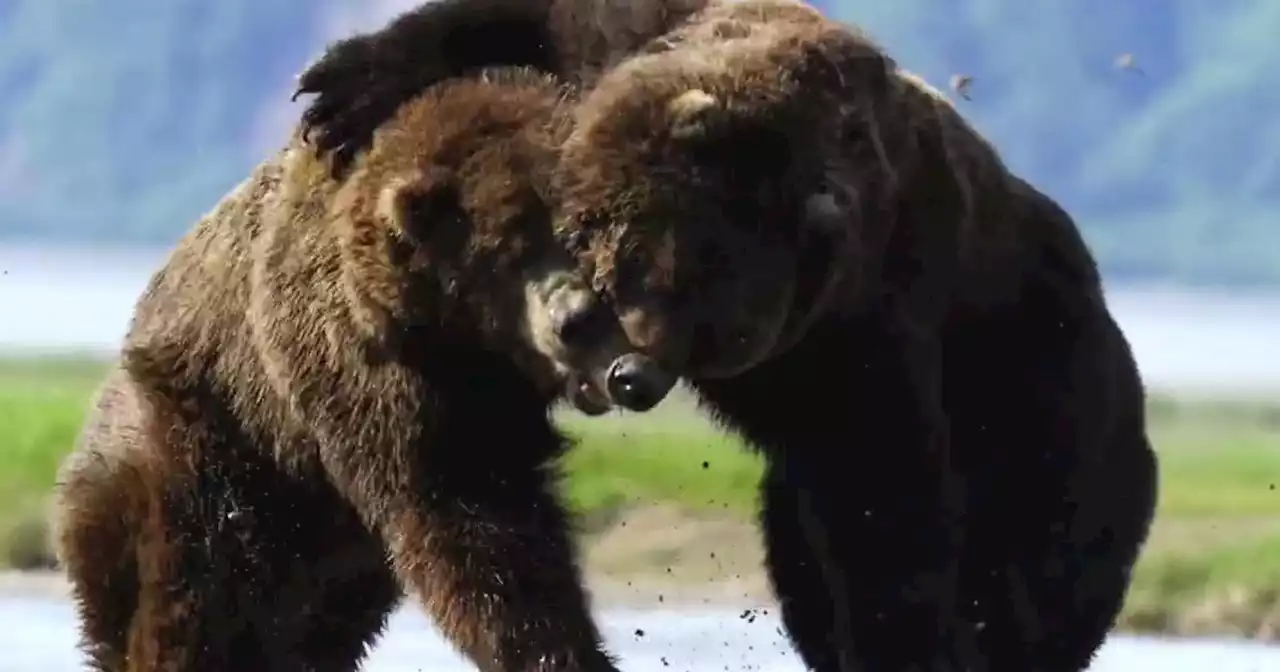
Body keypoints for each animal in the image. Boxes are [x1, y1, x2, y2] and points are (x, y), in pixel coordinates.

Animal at [52, 66, 680, 670]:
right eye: (507, 248)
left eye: (583, 233)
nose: (575, 318)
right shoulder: (370, 371)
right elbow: (470, 527)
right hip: (203, 447)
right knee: (187, 597)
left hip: (325, 554)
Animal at [293, 5, 1162, 670]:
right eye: (623, 266)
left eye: (704, 321)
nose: (635, 377)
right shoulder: (624, 50)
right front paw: (343, 88)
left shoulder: (870, 323)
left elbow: (885, 508)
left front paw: (908, 639)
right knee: (804, 556)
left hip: (1052, 398)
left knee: (1043, 564)